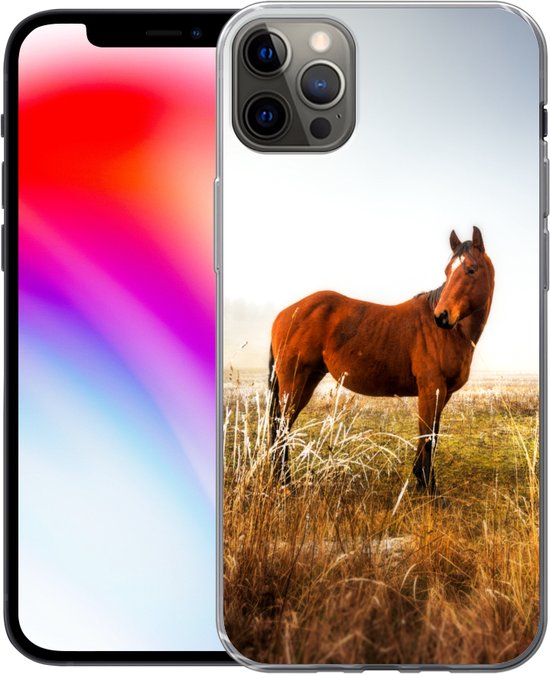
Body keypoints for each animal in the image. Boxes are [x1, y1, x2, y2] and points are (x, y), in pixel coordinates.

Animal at [268, 227, 494, 493]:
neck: (452, 333)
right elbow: (428, 436)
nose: (441, 316)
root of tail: (285, 314)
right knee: (282, 427)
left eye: (471, 269)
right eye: (448, 272)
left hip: (307, 381)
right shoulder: (431, 389)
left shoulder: (442, 393)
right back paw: (285, 483)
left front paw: (421, 481)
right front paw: (430, 488)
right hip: (293, 382)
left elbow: (430, 435)